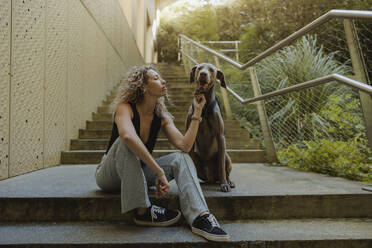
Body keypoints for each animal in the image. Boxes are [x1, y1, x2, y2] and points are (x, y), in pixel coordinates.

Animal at [186, 62, 235, 192]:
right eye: (199, 68)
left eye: (212, 70)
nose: (203, 74)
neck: (204, 107)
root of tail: (211, 178)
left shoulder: (220, 136)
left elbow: (221, 166)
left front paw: (224, 184)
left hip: (227, 157)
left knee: (225, 170)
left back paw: (229, 182)